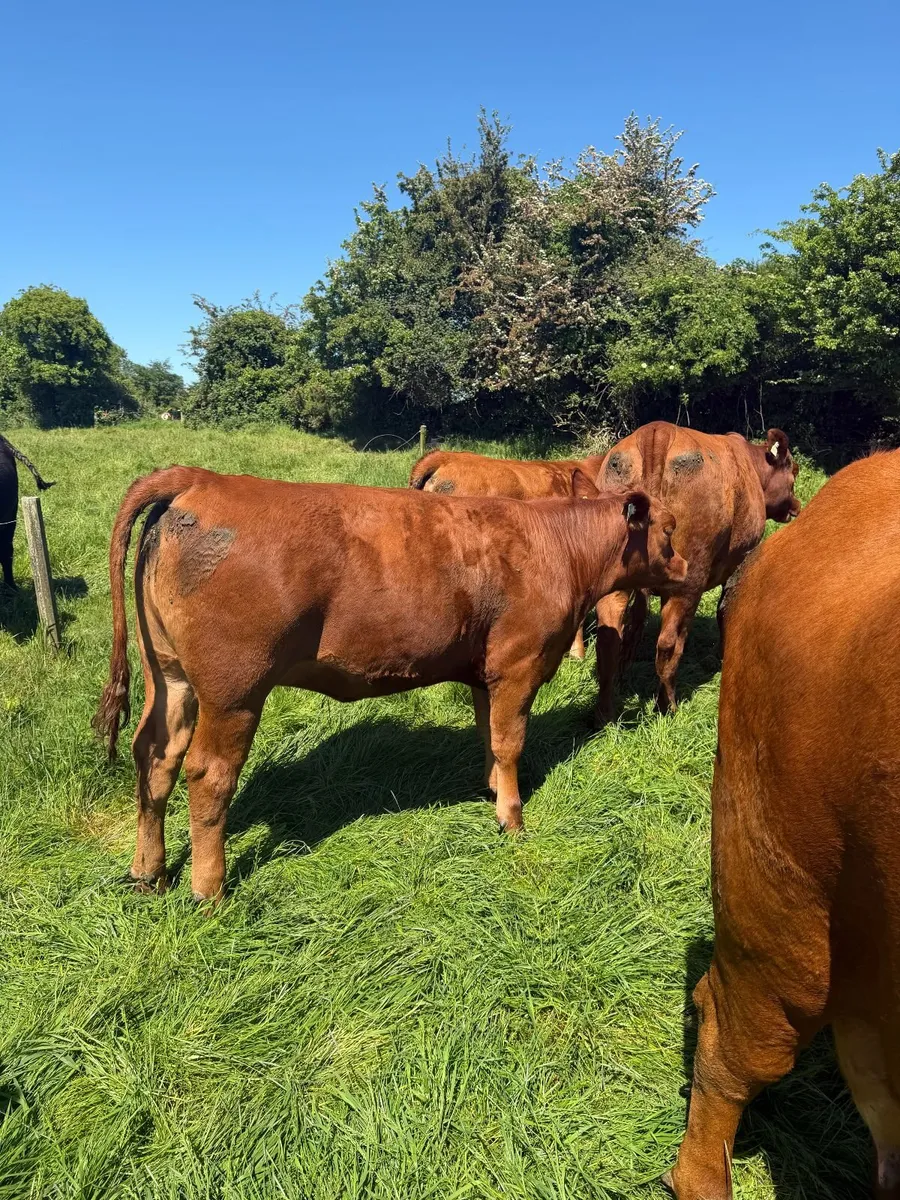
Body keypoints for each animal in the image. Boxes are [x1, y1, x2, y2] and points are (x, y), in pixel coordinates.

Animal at [593, 421, 800, 723]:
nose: (796, 506)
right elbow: (724, 609)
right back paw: (667, 706)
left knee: (609, 638)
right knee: (668, 644)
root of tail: (658, 431)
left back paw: (606, 712)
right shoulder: (739, 561)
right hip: (688, 579)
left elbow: (637, 619)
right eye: (793, 472)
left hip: (616, 582)